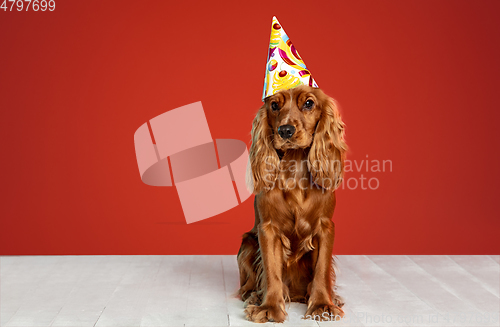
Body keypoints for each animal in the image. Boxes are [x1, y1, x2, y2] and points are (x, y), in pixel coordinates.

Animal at [236, 86, 346, 324]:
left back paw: (332, 297)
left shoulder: (325, 227)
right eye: (274, 105)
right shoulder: (268, 229)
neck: (295, 165)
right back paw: (253, 296)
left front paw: (322, 304)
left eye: (309, 103)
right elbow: (271, 270)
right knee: (248, 282)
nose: (285, 130)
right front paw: (268, 307)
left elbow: (322, 269)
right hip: (247, 242)